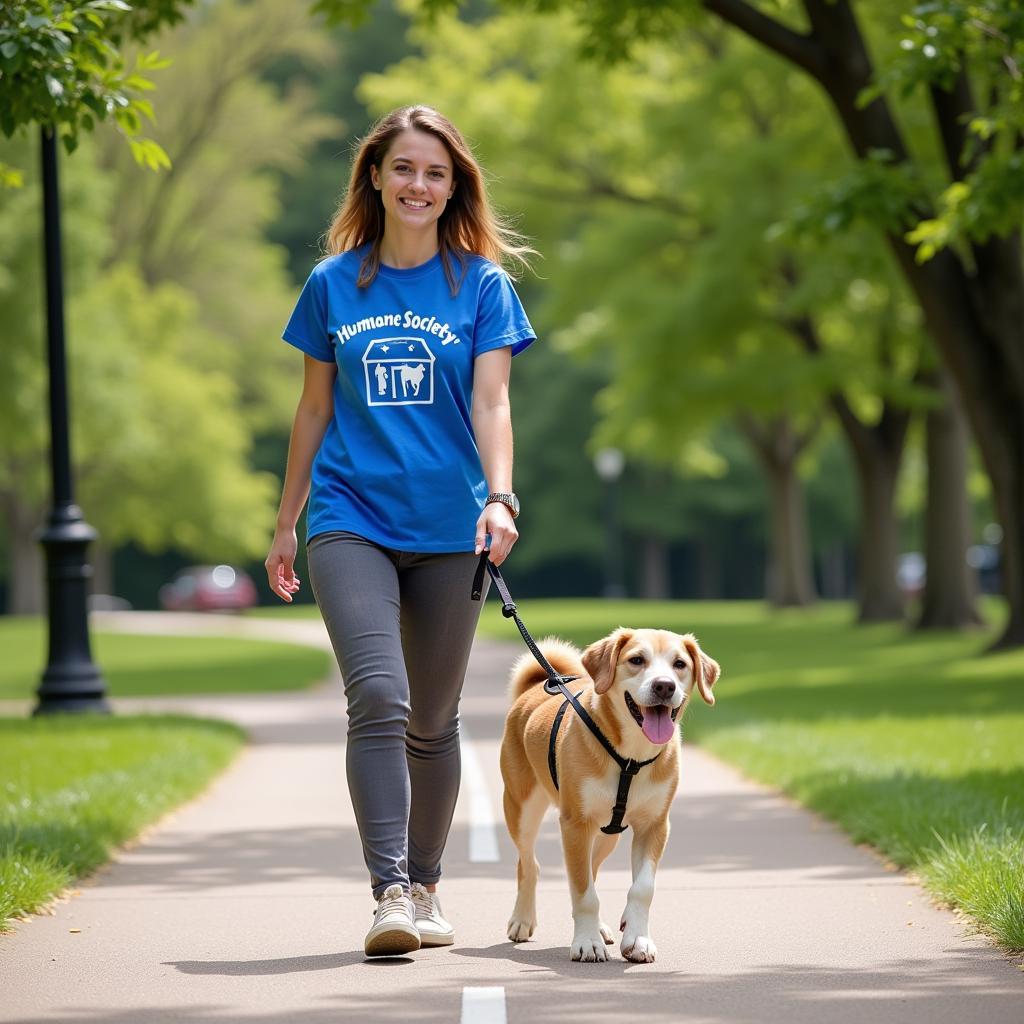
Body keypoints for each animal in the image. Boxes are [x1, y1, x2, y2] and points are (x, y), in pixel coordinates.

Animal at [497, 626, 720, 962]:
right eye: (637, 660)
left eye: (680, 664)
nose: (664, 686)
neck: (631, 758)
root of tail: (536, 688)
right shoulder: (575, 824)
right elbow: (583, 892)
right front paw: (587, 942)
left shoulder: (655, 825)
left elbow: (642, 888)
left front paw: (638, 939)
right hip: (521, 807)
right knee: (529, 864)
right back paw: (523, 920)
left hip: (606, 836)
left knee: (590, 867)